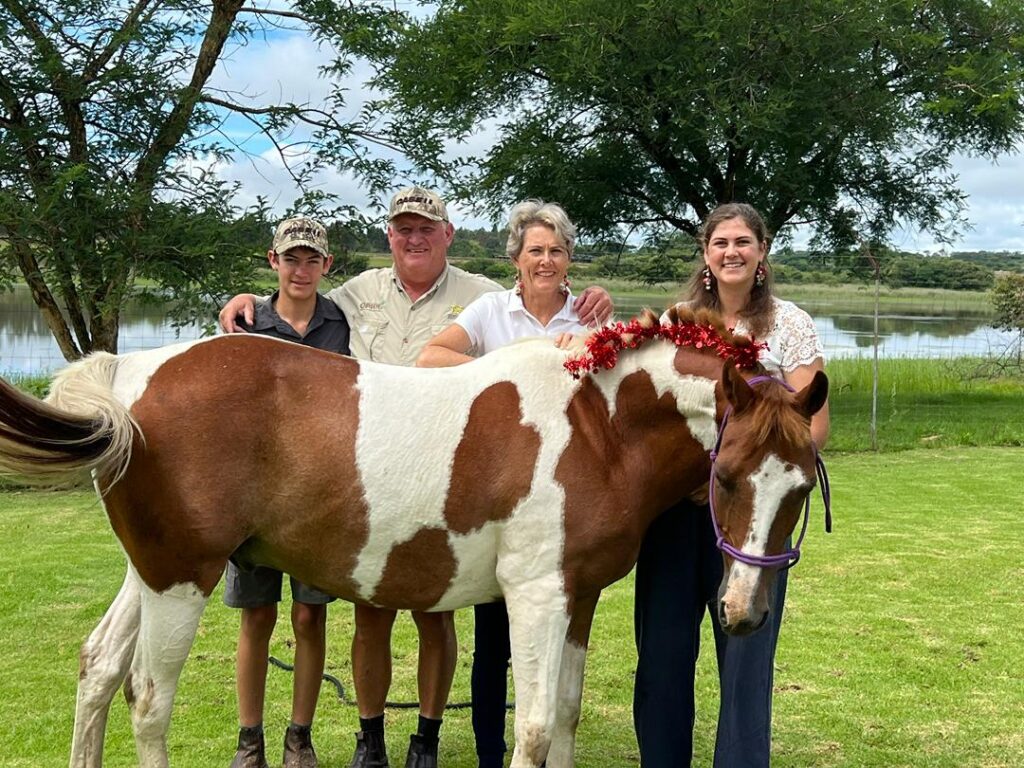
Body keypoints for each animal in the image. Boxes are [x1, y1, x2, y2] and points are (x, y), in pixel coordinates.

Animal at [0, 306, 828, 768]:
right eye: (728, 479)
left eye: (798, 489)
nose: (745, 612)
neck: (597, 425)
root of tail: (130, 374)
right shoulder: (535, 597)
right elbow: (530, 730)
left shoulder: (578, 596)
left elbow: (562, 716)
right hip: (181, 577)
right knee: (147, 698)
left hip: (151, 572)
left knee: (99, 669)